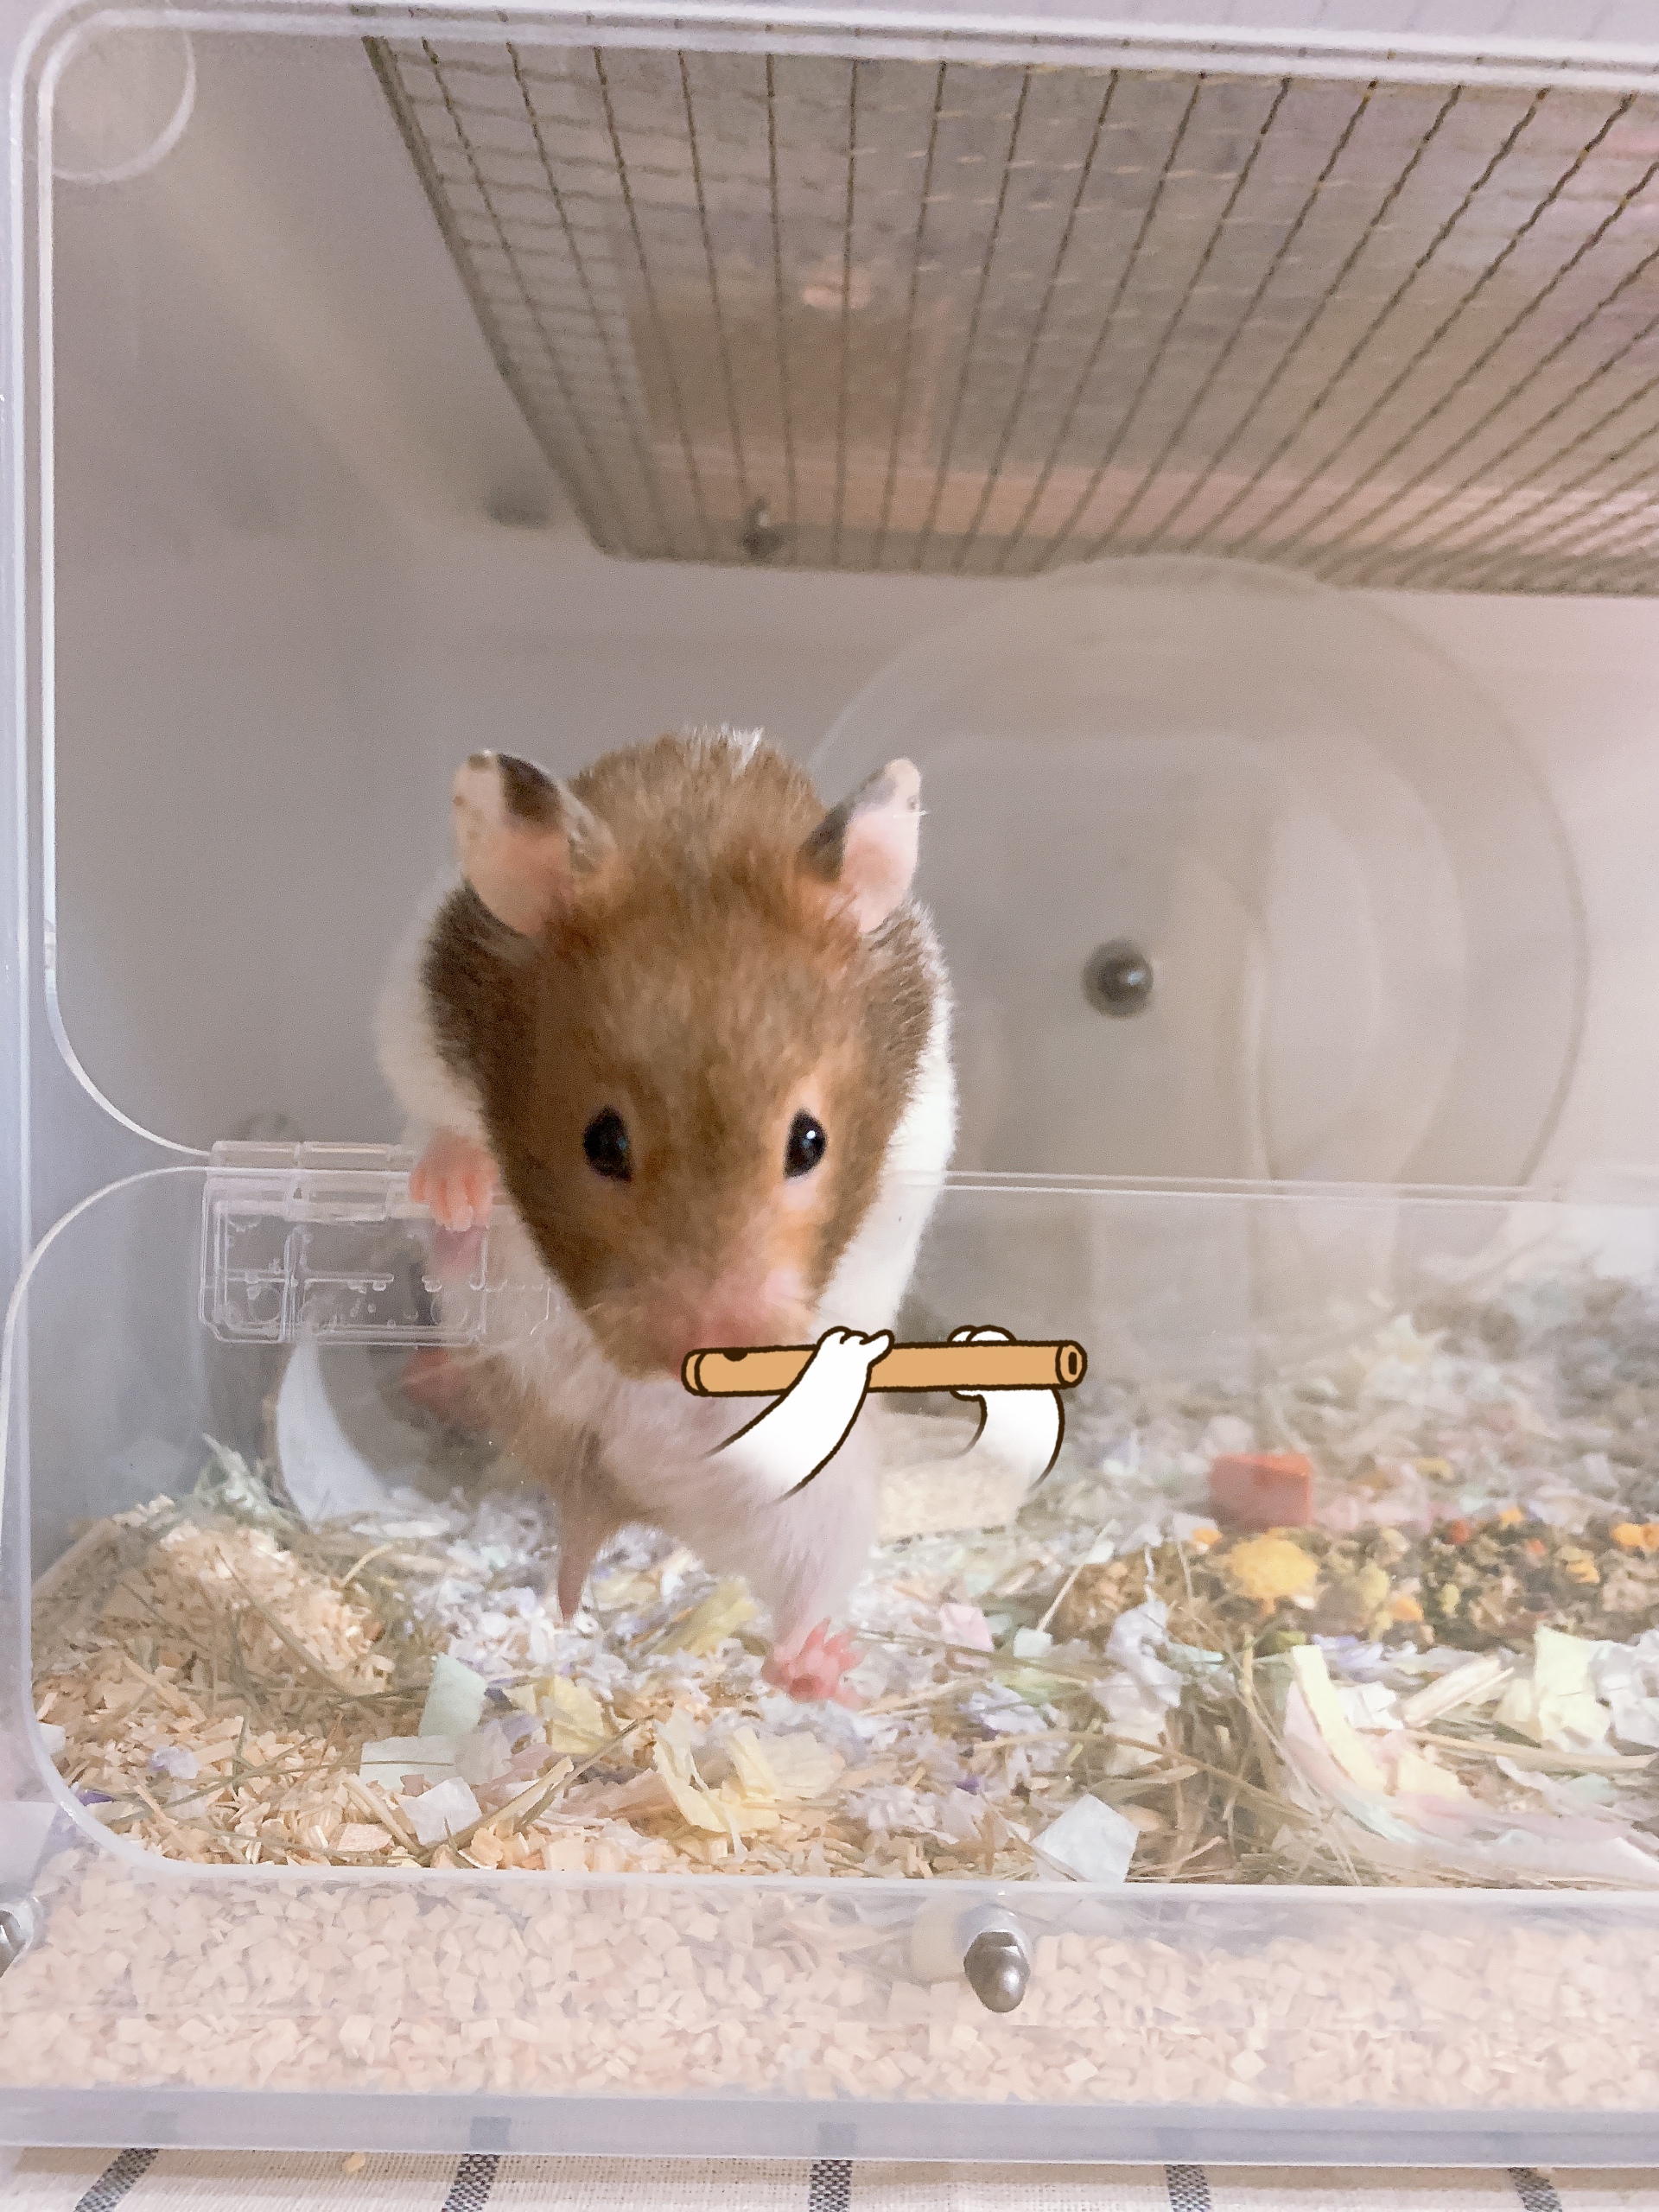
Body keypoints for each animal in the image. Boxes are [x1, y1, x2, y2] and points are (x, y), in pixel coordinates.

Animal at [375, 728, 956, 1701]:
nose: (712, 1346)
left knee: (801, 1595)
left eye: (809, 1142)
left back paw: (822, 1670)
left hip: (816, 1487)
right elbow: (443, 1115)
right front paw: (457, 1180)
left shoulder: (926, 1130)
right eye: (602, 1141)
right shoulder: (419, 1023)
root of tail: (609, 1484)